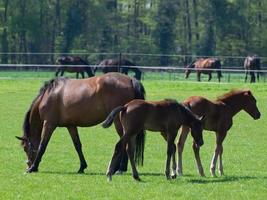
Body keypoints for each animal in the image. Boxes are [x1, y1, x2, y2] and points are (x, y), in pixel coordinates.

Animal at [16, 73, 147, 173]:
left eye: (25, 148)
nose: (28, 165)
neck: (49, 95)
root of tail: (130, 79)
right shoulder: (71, 126)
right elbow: (77, 145)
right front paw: (82, 167)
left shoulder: (49, 124)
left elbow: (42, 145)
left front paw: (33, 168)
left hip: (118, 122)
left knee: (125, 141)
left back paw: (121, 168)